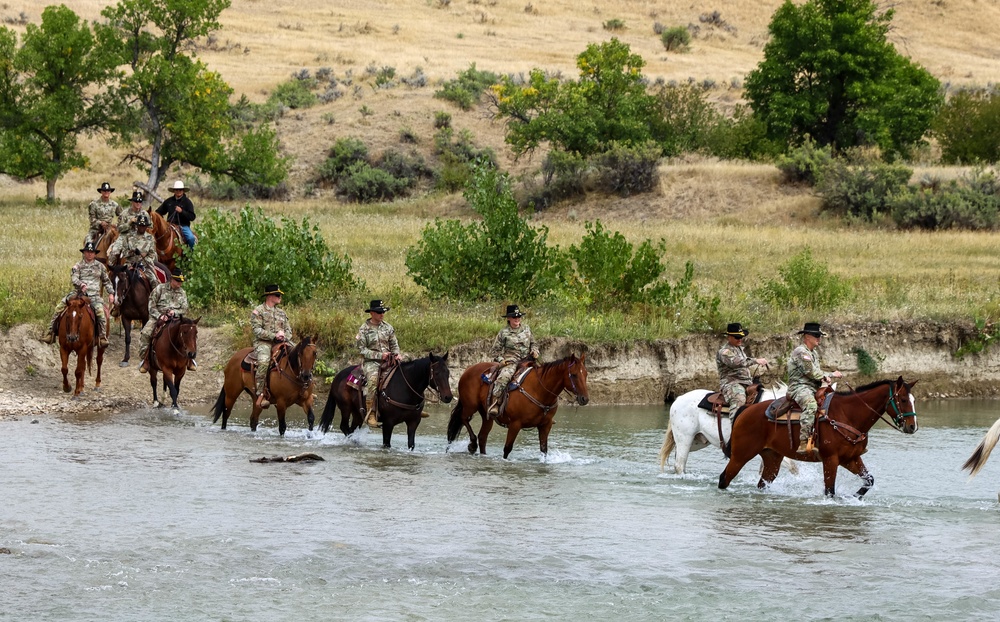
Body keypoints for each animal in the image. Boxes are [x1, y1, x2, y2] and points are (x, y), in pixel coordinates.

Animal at [320, 354, 454, 450]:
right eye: (436, 373)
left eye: (448, 372)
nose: (448, 397)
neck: (405, 387)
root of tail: (338, 375)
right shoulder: (388, 423)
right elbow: (386, 444)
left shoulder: (414, 422)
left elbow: (411, 445)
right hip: (345, 407)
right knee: (344, 426)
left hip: (357, 413)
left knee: (352, 428)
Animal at [450, 354, 588, 460]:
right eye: (574, 374)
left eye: (586, 374)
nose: (585, 399)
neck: (539, 390)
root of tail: (468, 370)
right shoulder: (515, 424)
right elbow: (507, 448)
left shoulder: (545, 425)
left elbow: (544, 450)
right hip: (470, 406)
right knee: (463, 418)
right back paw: (472, 445)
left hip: (486, 415)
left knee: (482, 437)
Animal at [716, 378, 916, 500]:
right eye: (903, 399)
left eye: (913, 399)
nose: (913, 426)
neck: (847, 415)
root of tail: (745, 410)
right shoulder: (830, 459)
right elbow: (829, 491)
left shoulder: (850, 458)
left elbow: (869, 481)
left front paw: (854, 497)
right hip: (741, 455)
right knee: (724, 478)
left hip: (772, 458)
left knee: (761, 484)